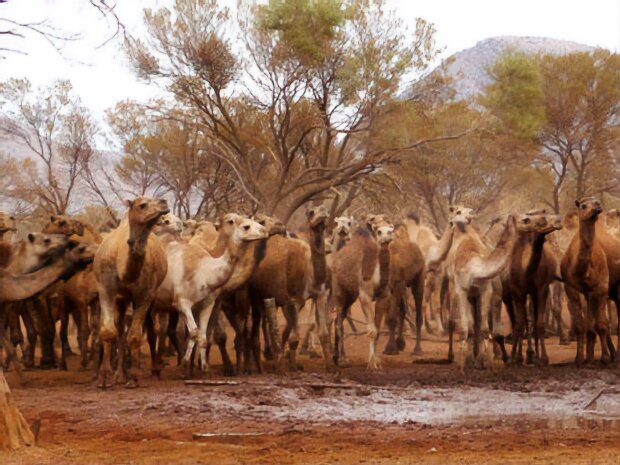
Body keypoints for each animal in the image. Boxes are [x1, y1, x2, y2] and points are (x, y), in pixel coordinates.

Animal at [93, 197, 170, 388]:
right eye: (142, 205)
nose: (164, 202)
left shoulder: (145, 295)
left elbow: (134, 336)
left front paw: (134, 377)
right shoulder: (106, 289)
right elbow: (108, 331)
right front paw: (103, 378)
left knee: (149, 330)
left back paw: (149, 372)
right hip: (121, 300)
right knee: (120, 330)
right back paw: (119, 375)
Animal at [446, 207, 520, 370]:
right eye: (457, 211)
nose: (470, 213)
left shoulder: (486, 290)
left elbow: (485, 329)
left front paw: (486, 365)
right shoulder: (461, 291)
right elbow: (466, 329)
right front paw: (465, 365)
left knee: (479, 324)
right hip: (455, 291)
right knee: (456, 323)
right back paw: (457, 358)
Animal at [502, 211, 564, 366]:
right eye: (542, 219)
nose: (559, 221)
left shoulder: (541, 290)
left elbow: (539, 324)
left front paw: (543, 358)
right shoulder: (518, 292)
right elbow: (519, 325)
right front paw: (515, 359)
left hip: (532, 295)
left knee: (530, 320)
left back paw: (532, 356)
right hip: (507, 296)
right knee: (516, 322)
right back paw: (517, 356)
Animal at [560, 198, 612, 364]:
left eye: (597, 201)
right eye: (583, 206)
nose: (597, 207)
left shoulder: (602, 287)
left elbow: (602, 325)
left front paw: (605, 358)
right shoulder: (571, 287)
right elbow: (580, 326)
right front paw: (579, 359)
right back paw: (590, 357)